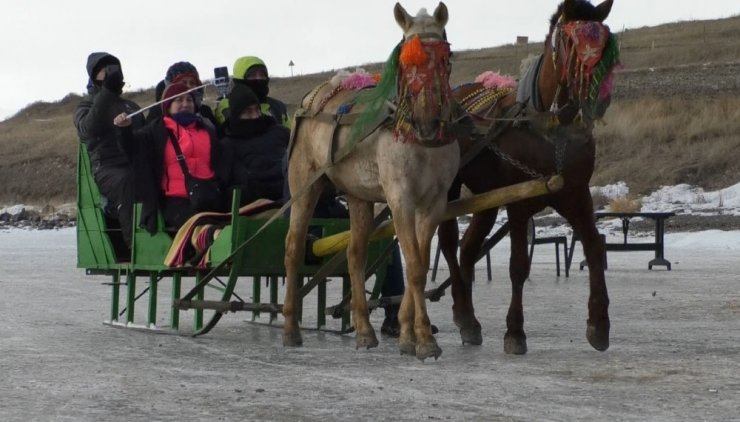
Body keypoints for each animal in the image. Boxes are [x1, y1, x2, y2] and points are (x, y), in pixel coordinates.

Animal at [282, 2, 456, 360]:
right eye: (405, 60)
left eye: (446, 58)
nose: (428, 122)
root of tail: (312, 98)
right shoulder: (400, 198)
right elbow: (415, 267)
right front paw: (422, 339)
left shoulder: (435, 203)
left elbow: (417, 263)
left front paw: (407, 333)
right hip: (305, 185)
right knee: (293, 248)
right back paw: (291, 328)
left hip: (359, 196)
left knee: (355, 254)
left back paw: (363, 330)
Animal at [440, 0, 620, 352]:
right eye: (570, 40)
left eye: (606, 40)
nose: (599, 96)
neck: (550, 128)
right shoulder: (519, 205)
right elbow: (519, 266)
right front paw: (514, 331)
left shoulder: (576, 194)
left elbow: (594, 248)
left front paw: (599, 323)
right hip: (450, 187)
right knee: (450, 243)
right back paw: (463, 312)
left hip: (487, 196)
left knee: (468, 248)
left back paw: (469, 321)